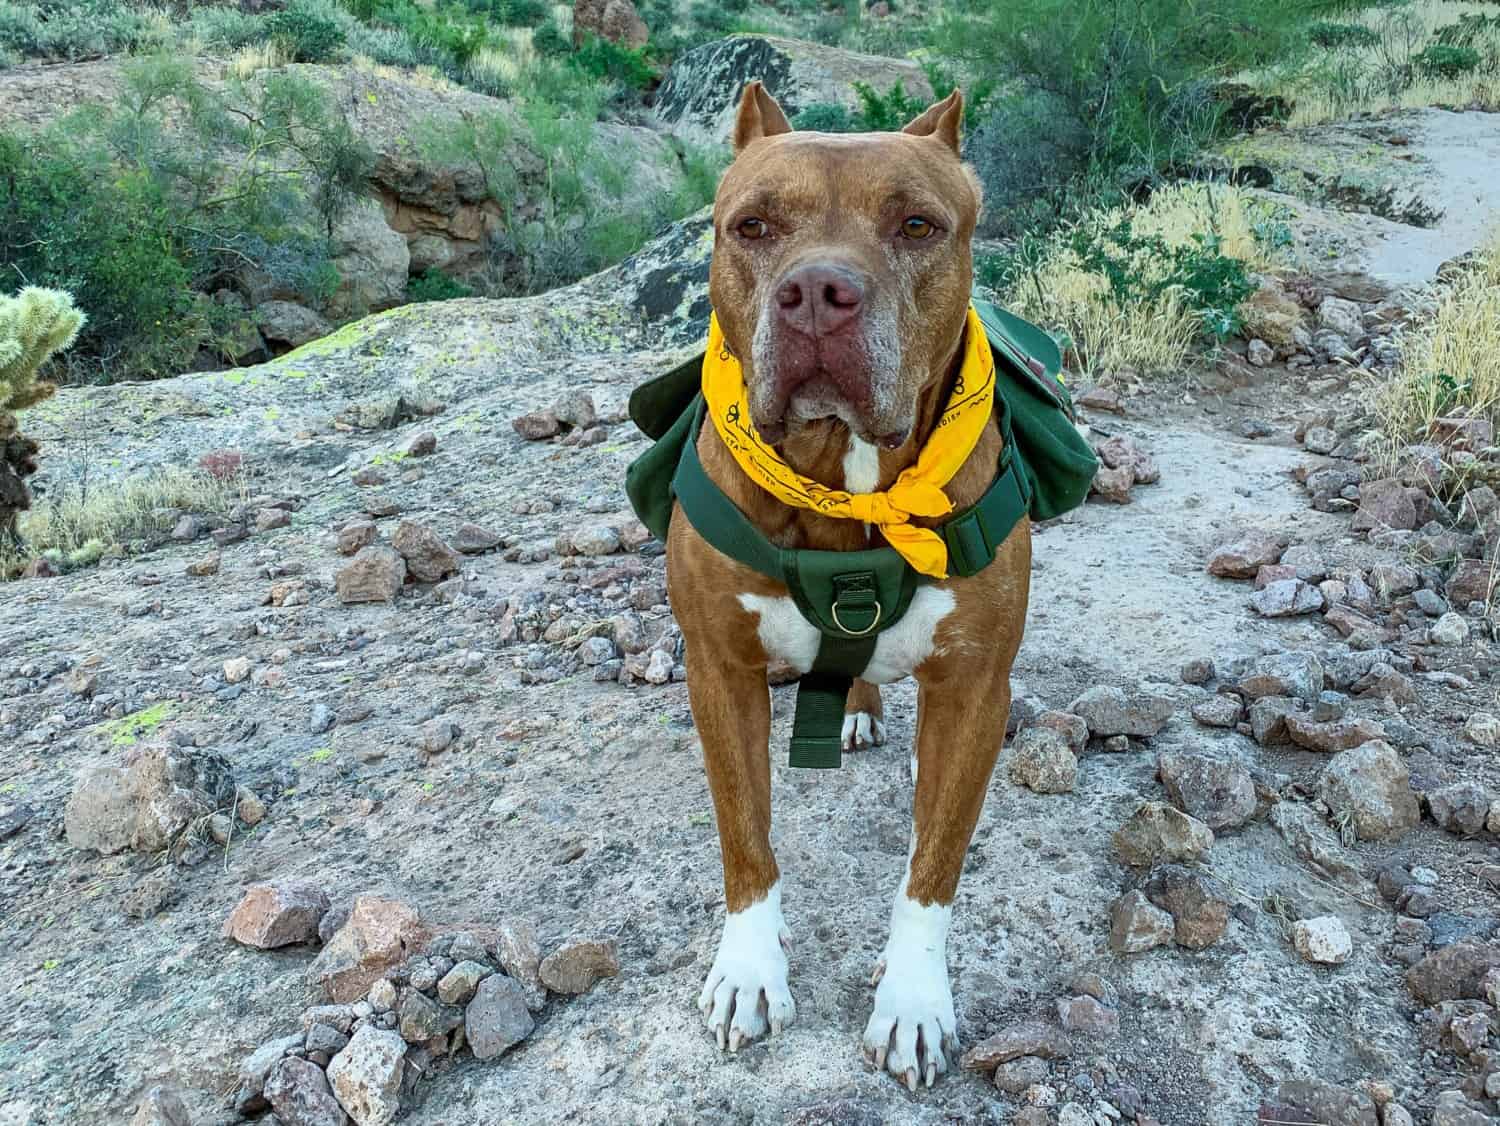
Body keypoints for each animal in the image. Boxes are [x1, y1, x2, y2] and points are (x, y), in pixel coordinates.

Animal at [669, 81, 1032, 1091]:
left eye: (917, 224)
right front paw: (748, 973)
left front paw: (912, 1001)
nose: (817, 294)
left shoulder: (977, 682)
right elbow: (745, 837)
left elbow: (933, 868)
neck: (844, 480)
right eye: (751, 227)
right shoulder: (719, 671)